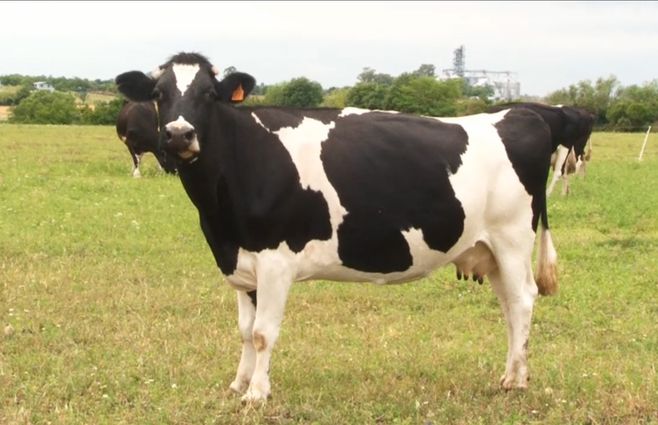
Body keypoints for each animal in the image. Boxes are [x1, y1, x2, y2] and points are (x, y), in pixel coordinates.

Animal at [116, 52, 558, 403]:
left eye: (209, 94)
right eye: (159, 94)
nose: (179, 135)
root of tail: (519, 113)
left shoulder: (276, 260)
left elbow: (263, 332)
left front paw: (257, 393)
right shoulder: (240, 260)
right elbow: (244, 330)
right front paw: (239, 383)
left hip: (512, 239)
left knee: (522, 300)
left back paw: (516, 381)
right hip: (488, 249)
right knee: (509, 307)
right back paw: (512, 373)